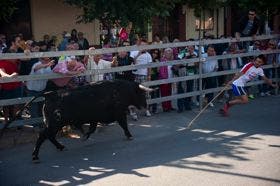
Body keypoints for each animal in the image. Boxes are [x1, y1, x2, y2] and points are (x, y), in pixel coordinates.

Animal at [19, 80, 151, 162]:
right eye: (141, 94)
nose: (145, 105)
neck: (121, 90)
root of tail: (50, 94)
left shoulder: (94, 119)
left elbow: (92, 129)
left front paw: (85, 135)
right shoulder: (120, 113)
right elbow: (124, 125)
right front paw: (129, 135)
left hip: (54, 124)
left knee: (49, 136)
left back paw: (61, 147)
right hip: (54, 124)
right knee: (43, 135)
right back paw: (35, 156)